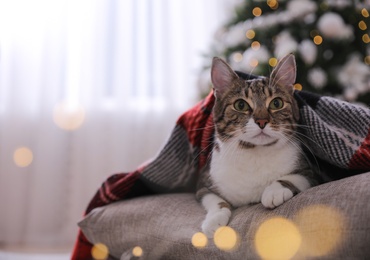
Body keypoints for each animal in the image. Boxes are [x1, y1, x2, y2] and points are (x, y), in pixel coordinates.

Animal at [197, 54, 320, 238]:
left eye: (276, 103)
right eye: (240, 105)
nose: (262, 121)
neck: (255, 154)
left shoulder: (312, 174)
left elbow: (295, 177)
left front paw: (274, 190)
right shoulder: (203, 181)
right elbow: (213, 199)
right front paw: (214, 219)